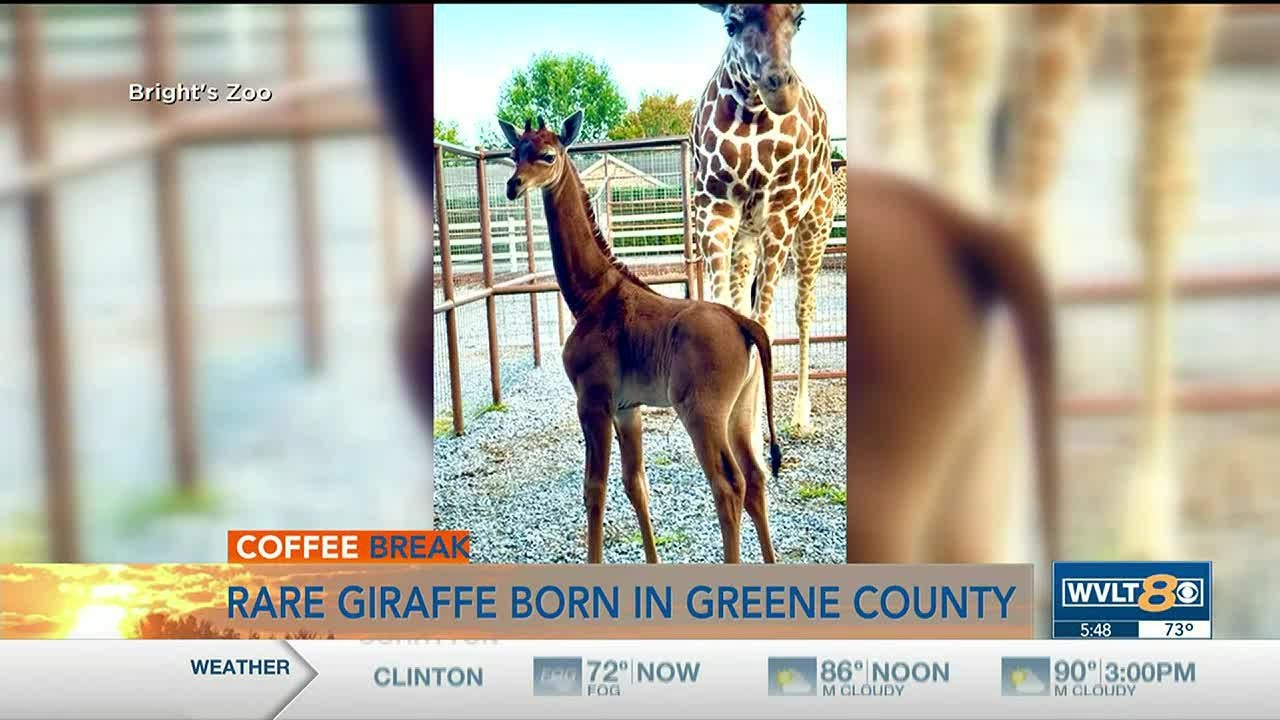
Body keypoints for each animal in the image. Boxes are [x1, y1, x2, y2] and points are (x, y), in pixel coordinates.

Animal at [499, 112, 783, 565]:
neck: (592, 295)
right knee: (755, 479)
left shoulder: (593, 402)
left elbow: (594, 490)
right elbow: (637, 485)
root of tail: (744, 324)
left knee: (729, 485)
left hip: (702, 413)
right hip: (742, 409)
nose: (514, 185)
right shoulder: (627, 409)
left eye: (547, 155)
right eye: (515, 152)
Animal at [692, 4, 838, 437]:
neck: (752, 114)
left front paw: (753, 435)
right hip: (747, 236)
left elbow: (765, 324)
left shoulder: (781, 212)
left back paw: (801, 416)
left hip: (814, 227)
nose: (780, 88)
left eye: (800, 18)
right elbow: (728, 314)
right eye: (731, 23)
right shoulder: (714, 210)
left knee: (803, 310)